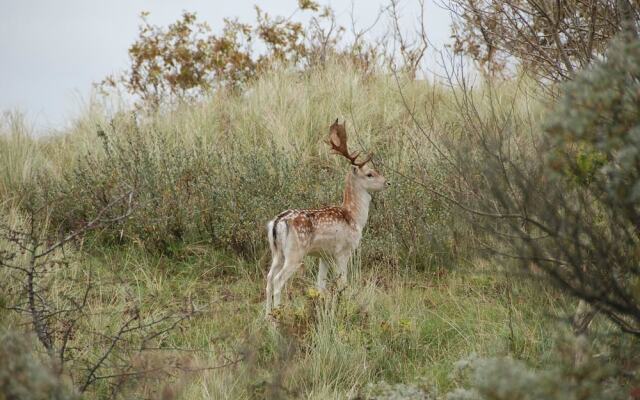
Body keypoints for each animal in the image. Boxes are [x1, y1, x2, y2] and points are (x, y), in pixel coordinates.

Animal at [264, 117, 388, 318]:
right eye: (370, 174)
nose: (387, 182)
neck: (354, 217)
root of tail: (277, 223)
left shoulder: (323, 255)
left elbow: (320, 285)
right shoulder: (343, 251)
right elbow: (343, 283)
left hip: (276, 252)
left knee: (268, 278)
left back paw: (267, 317)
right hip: (295, 253)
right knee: (277, 280)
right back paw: (277, 317)